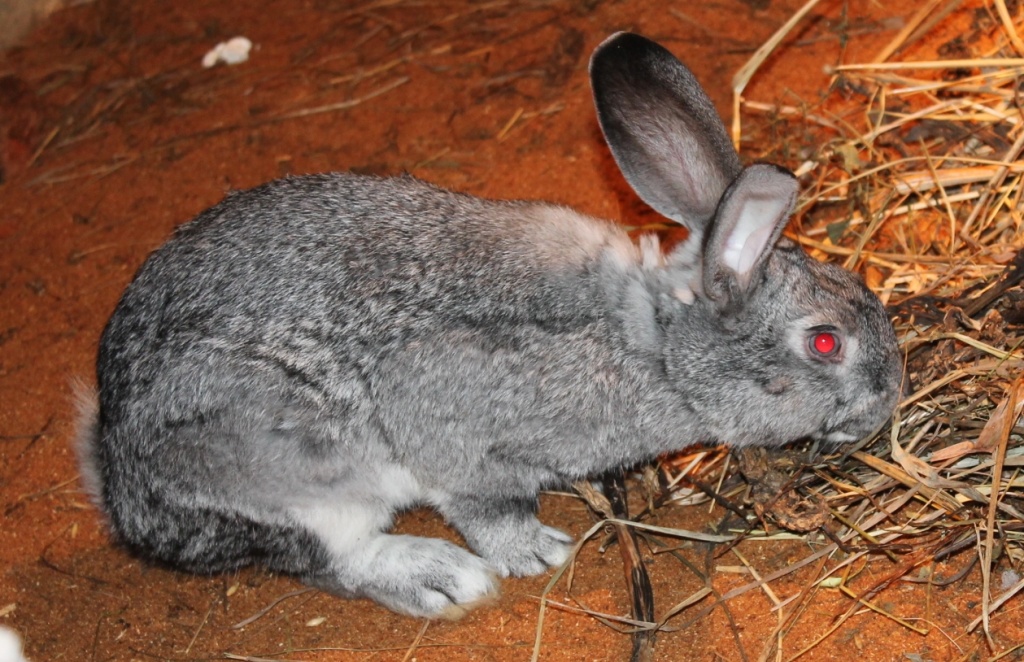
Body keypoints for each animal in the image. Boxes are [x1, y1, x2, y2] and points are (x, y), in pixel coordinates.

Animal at [75, 32, 901, 623]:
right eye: (825, 342)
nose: (888, 398)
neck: (656, 343)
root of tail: (120, 480)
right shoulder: (458, 434)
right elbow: (482, 503)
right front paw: (534, 551)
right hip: (296, 470)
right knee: (330, 557)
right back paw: (442, 579)